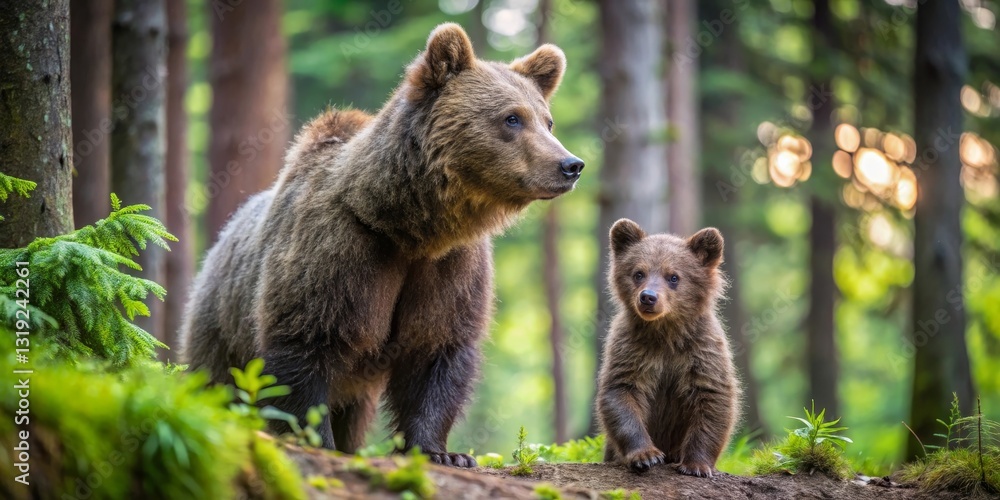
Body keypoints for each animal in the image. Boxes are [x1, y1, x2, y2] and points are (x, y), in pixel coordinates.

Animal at [179, 23, 583, 468]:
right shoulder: (338, 251)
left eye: (547, 121)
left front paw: (442, 452)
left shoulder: (449, 267)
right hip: (219, 325)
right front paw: (319, 442)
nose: (571, 165)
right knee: (219, 382)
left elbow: (436, 352)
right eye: (512, 118)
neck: (407, 226)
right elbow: (304, 347)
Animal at [596, 219, 739, 477]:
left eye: (673, 276)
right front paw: (646, 455)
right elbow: (621, 391)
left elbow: (712, 397)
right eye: (638, 273)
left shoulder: (701, 351)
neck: (666, 334)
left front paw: (696, 465)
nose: (648, 297)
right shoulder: (631, 348)